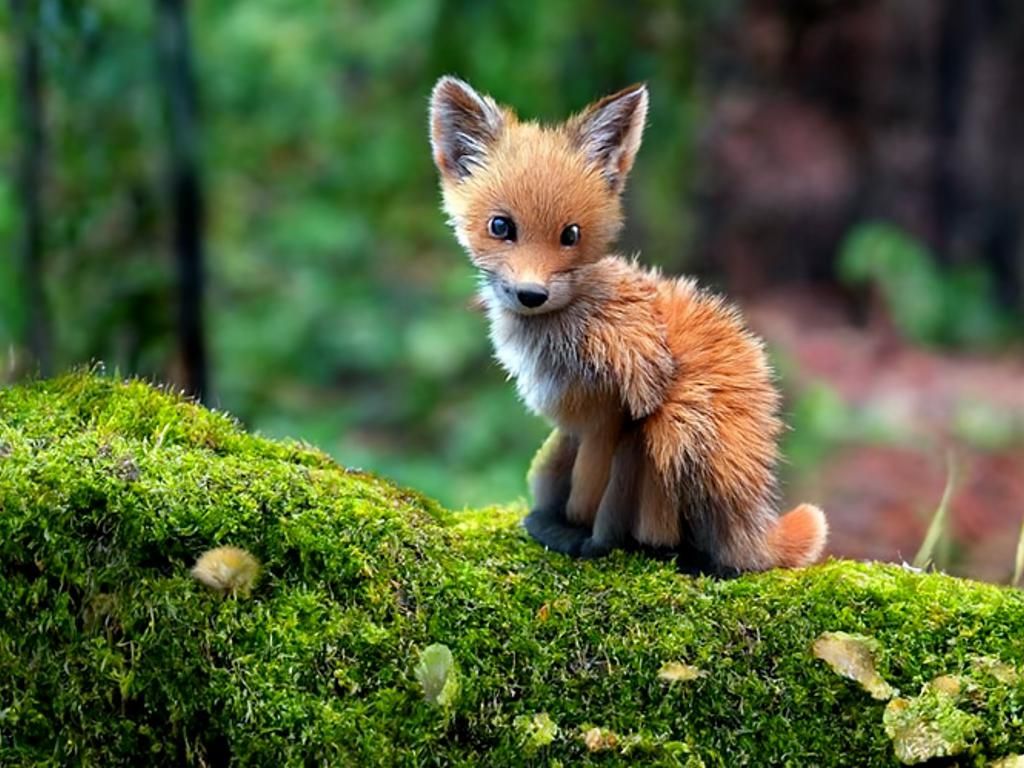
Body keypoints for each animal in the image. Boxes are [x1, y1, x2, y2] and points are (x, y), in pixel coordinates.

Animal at [428, 76, 828, 571]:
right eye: (500, 227)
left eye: (571, 235)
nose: (532, 294)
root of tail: (747, 513)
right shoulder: (574, 427)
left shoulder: (615, 410)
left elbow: (586, 492)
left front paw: (577, 533)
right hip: (559, 454)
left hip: (667, 433)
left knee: (661, 533)